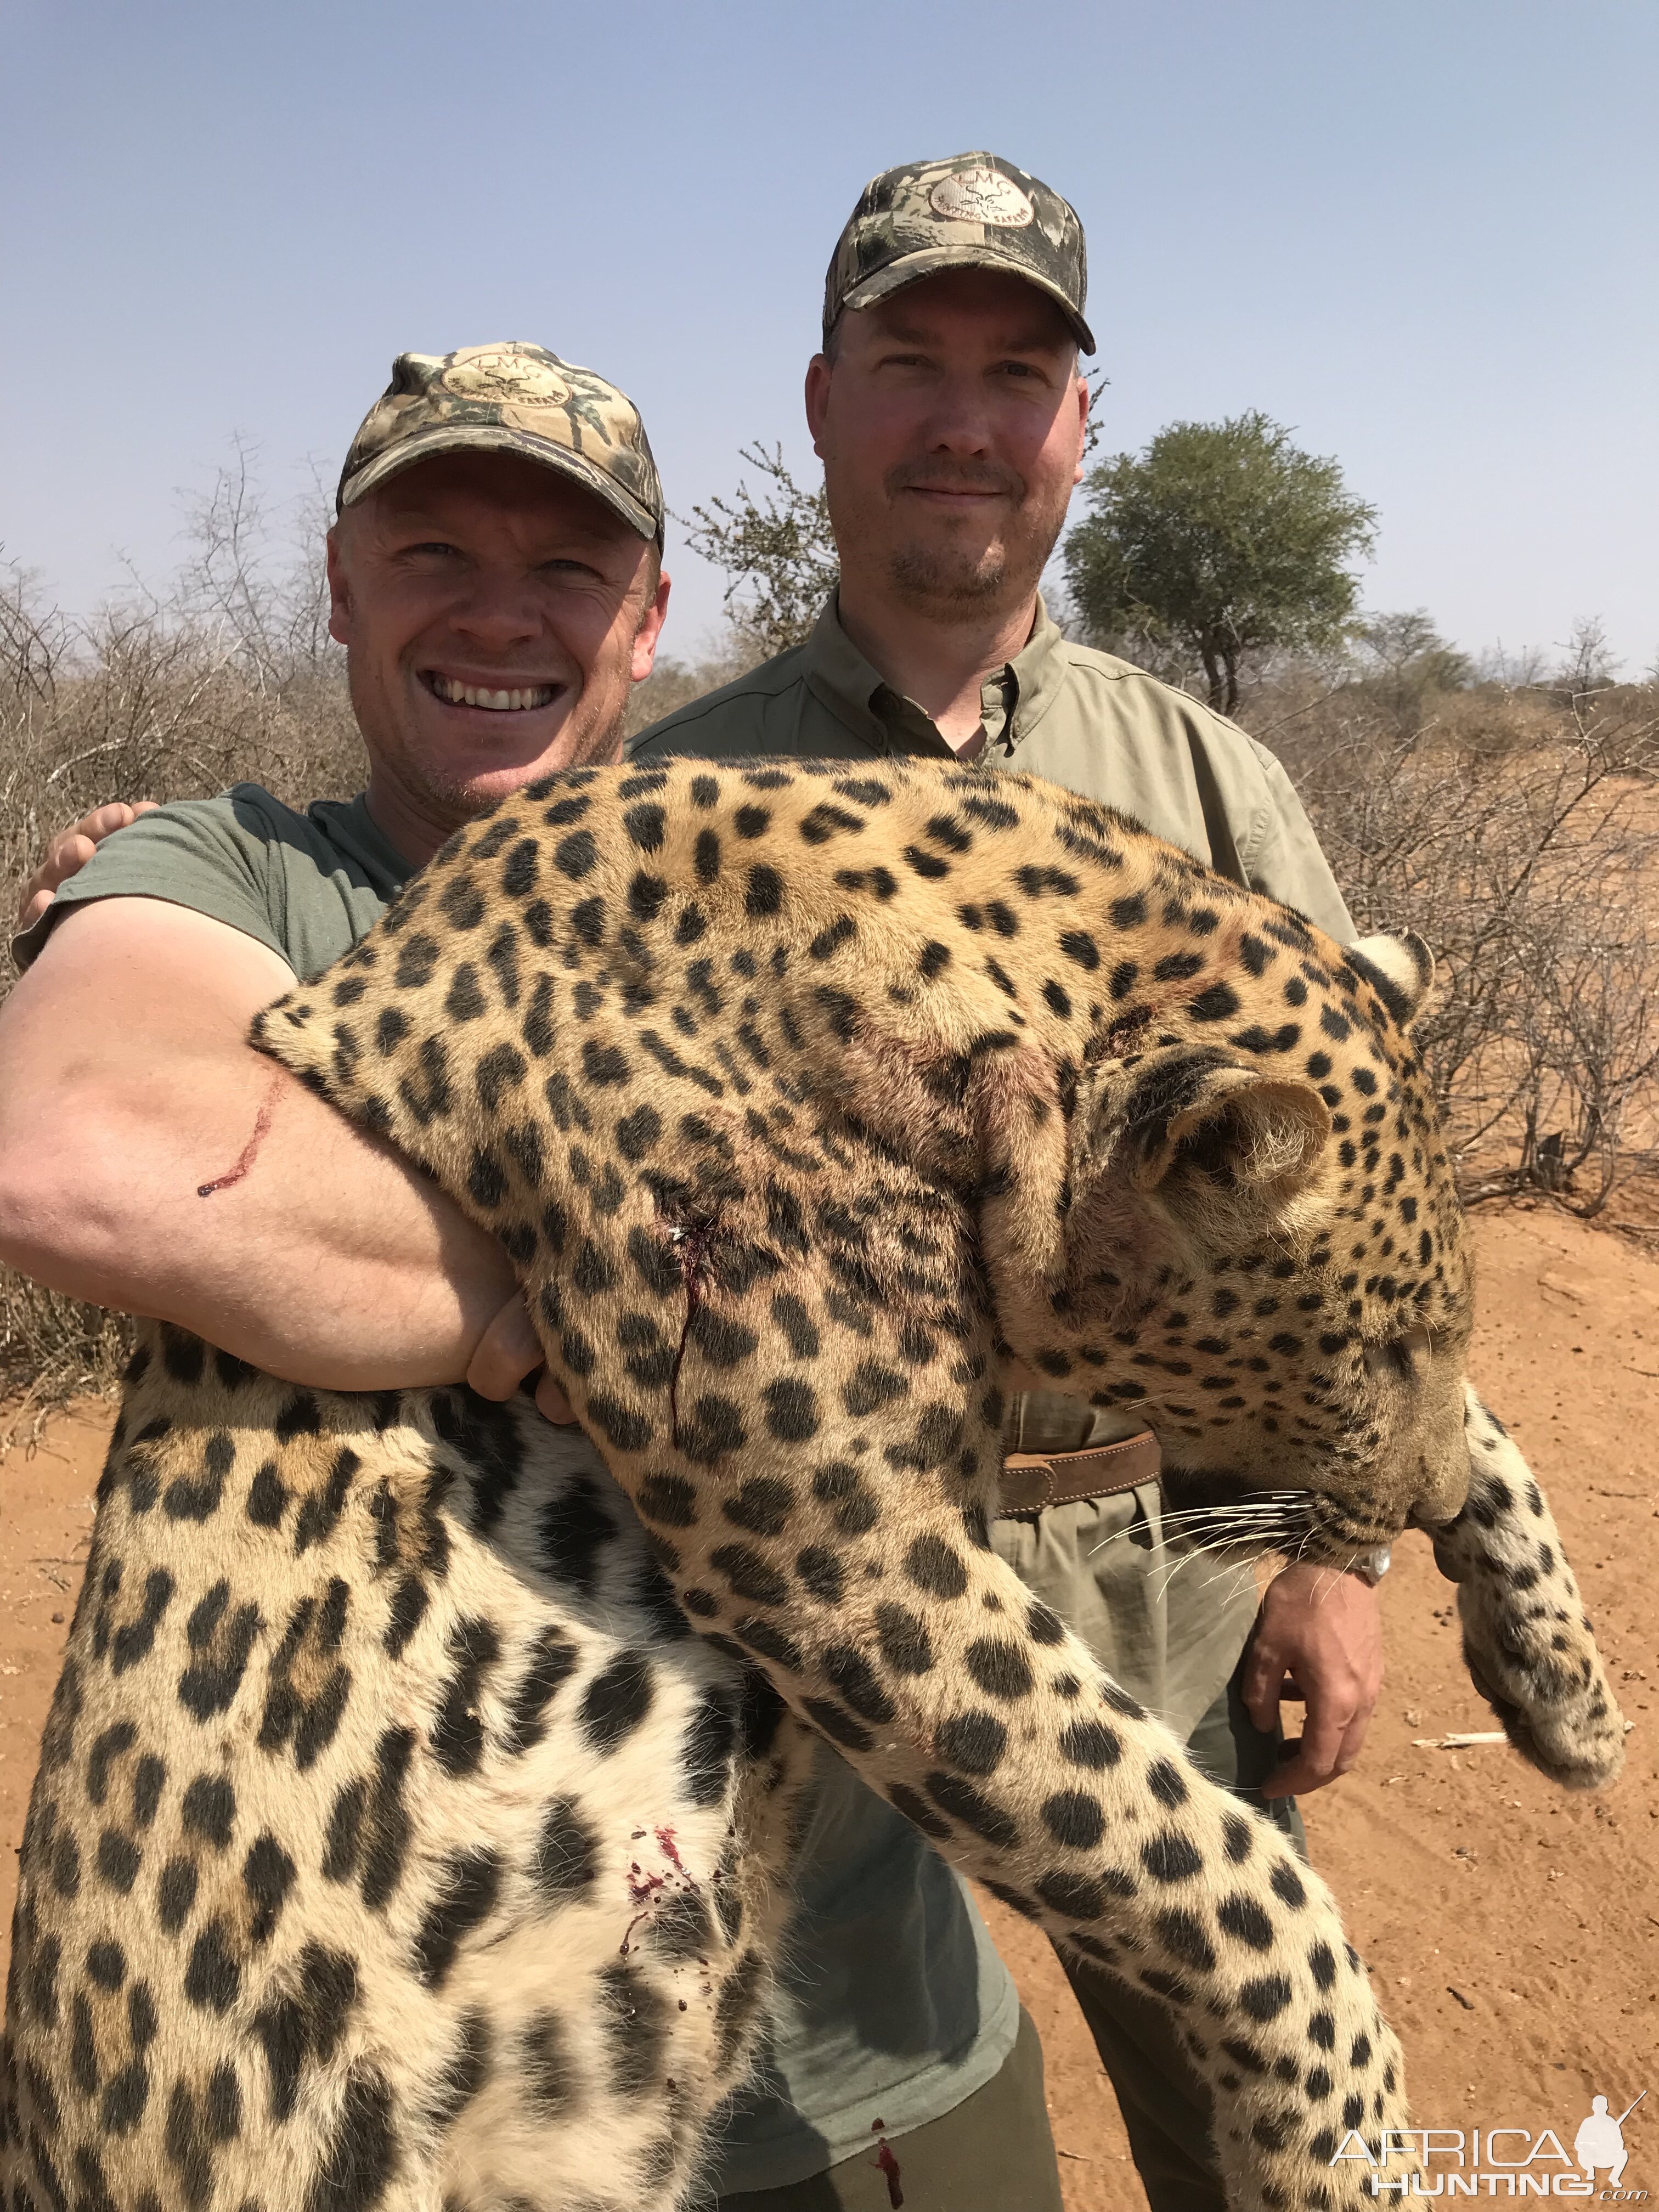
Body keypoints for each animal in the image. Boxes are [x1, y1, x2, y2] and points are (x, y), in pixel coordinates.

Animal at [0, 756, 1628, 2212]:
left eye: (1432, 1332)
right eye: (1369, 1351)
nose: (1405, 1524)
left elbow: (1490, 1437)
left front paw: (1571, 1698)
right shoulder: (844, 1545)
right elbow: (1228, 1870)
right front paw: (1340, 2146)